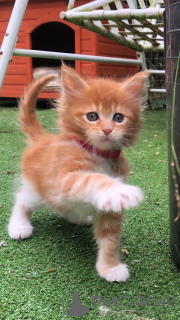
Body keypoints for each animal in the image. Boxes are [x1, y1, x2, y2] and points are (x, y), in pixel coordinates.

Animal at [7, 63, 148, 282]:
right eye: (92, 116)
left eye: (118, 118)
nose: (107, 130)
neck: (99, 154)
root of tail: (42, 139)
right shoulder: (64, 179)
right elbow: (92, 179)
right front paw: (122, 191)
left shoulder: (110, 210)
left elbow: (110, 238)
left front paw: (110, 267)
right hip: (39, 192)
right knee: (23, 198)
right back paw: (19, 226)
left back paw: (78, 217)